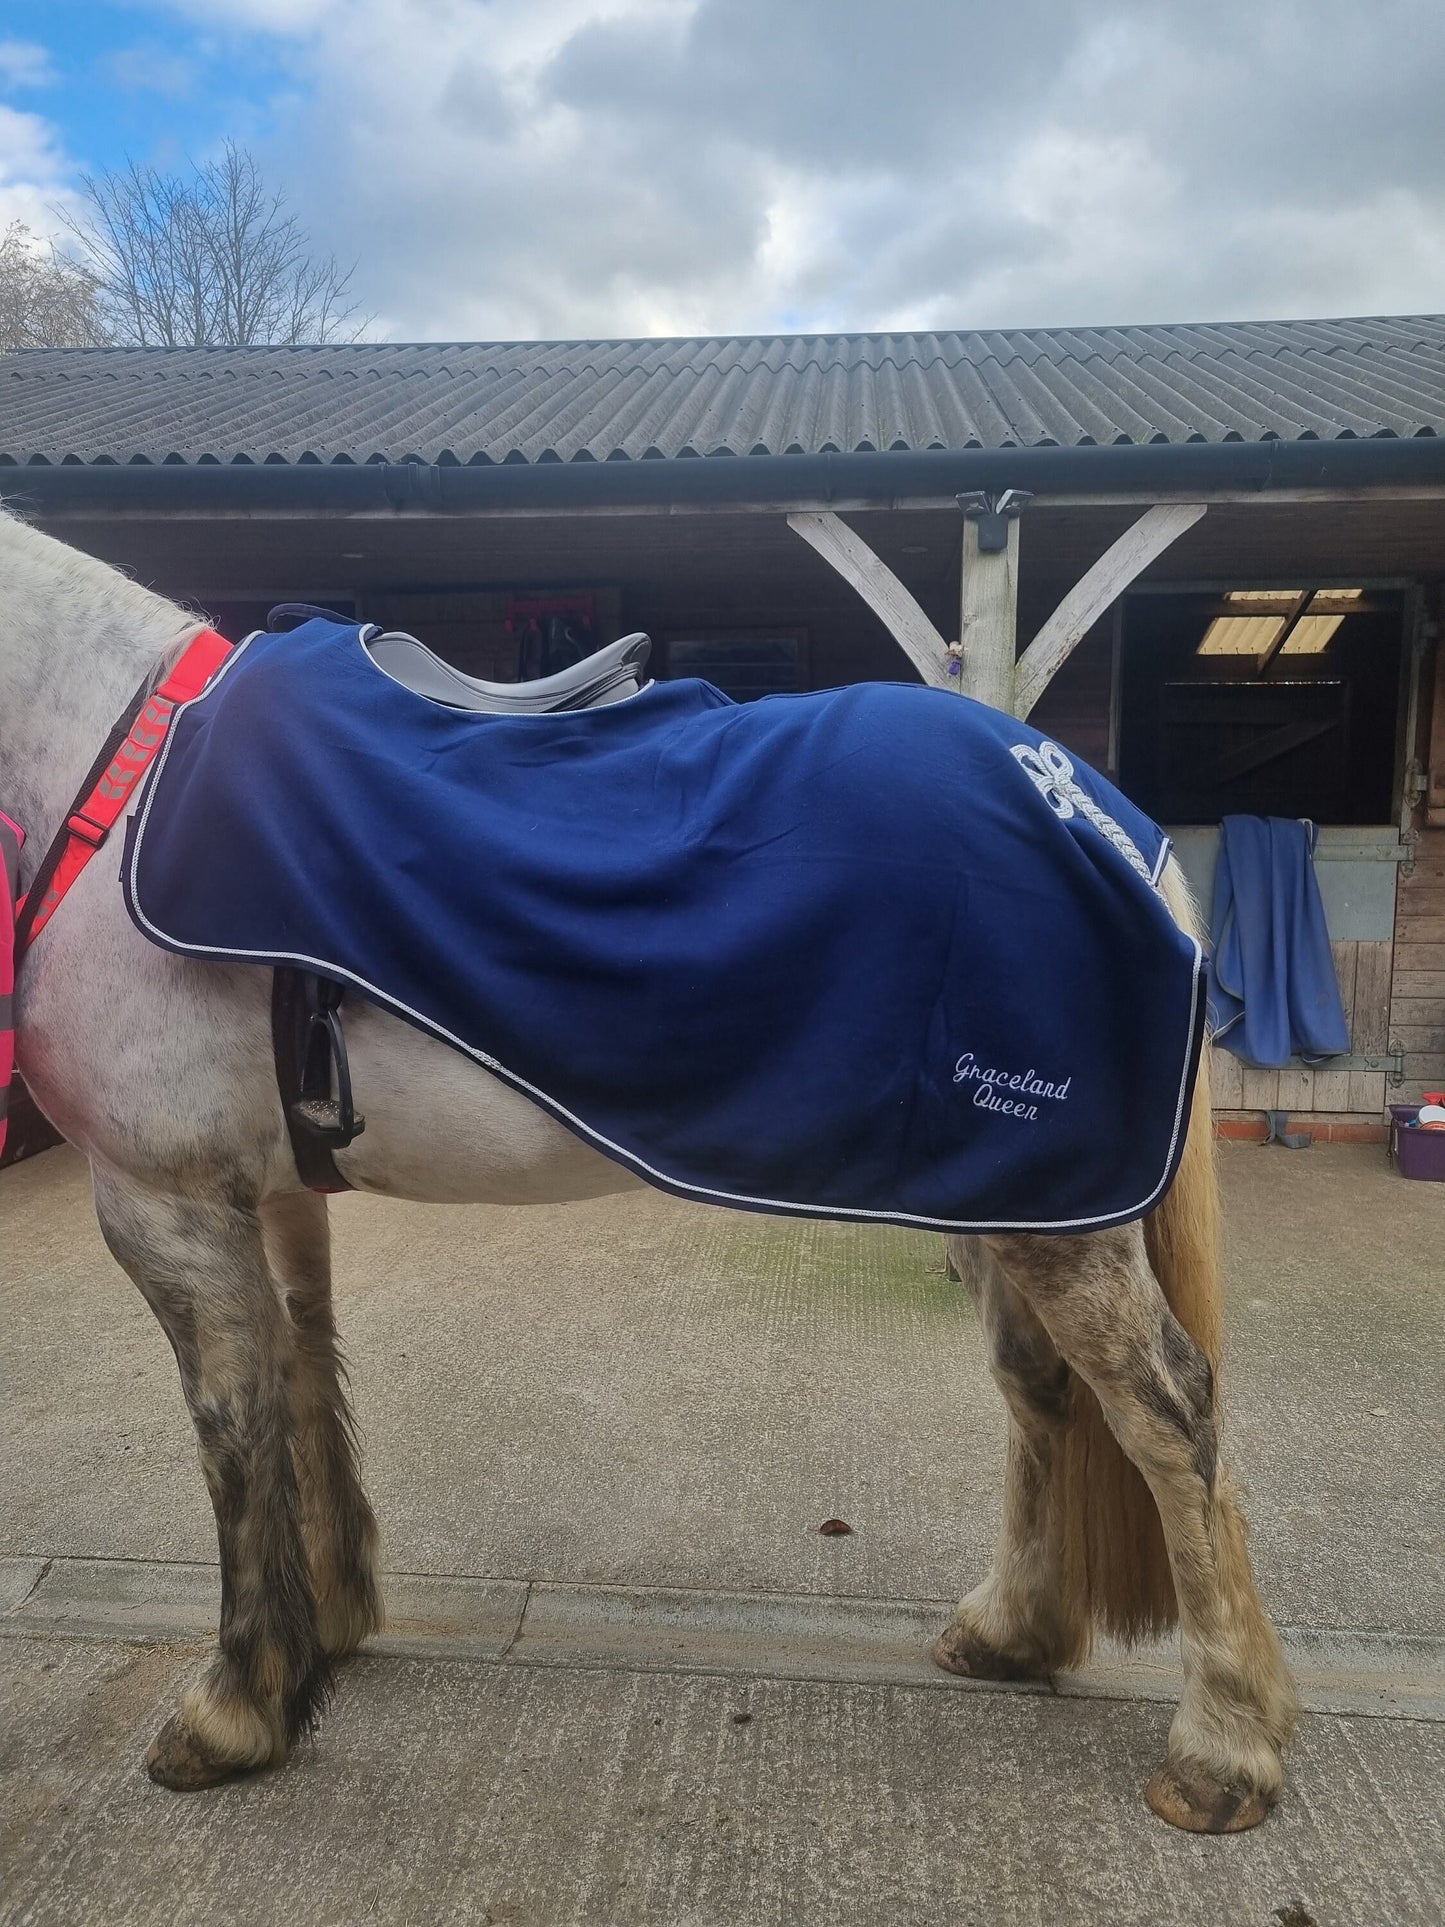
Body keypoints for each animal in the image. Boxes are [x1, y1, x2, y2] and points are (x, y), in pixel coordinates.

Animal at [0, 506, 1298, 1831]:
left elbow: (233, 1424)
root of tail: (1098, 814)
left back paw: (1222, 1747)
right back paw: (1009, 1632)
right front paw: (330, 1630)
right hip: (1013, 1192)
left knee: (1166, 1412)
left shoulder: (165, 1203)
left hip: (1058, 1216)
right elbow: (305, 1375)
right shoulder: (267, 1193)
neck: (115, 767)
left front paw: (235, 1706)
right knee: (1040, 1391)